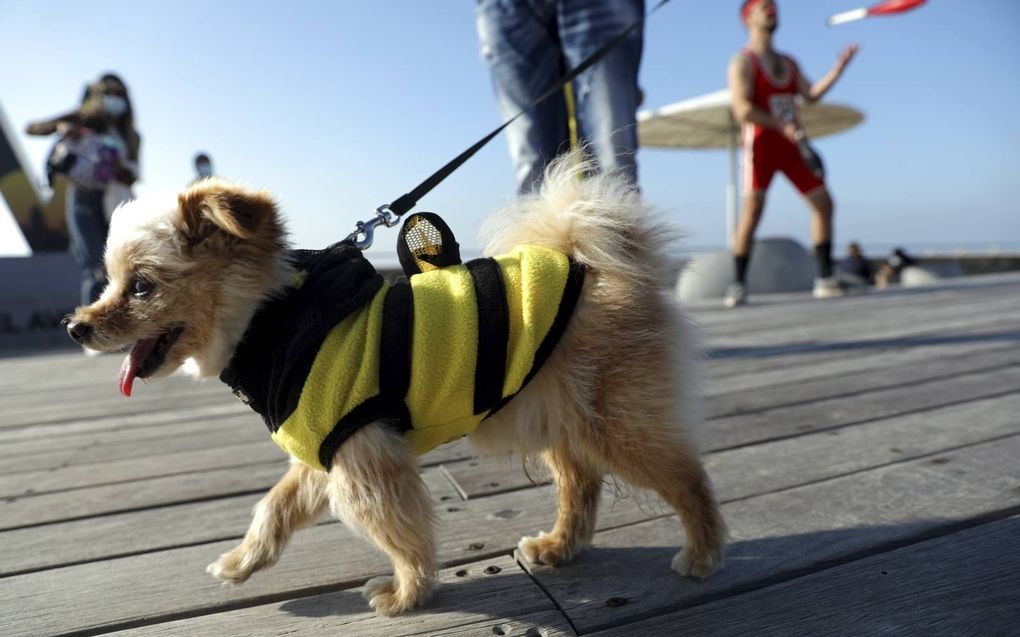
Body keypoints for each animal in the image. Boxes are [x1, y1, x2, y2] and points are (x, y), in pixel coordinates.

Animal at [65, 157, 726, 615]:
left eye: (141, 286)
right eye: (109, 281)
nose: (76, 326)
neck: (272, 321)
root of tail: (598, 261)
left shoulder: (363, 460)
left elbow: (399, 531)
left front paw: (406, 594)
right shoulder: (324, 446)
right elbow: (272, 508)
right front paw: (240, 563)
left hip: (619, 424)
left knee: (688, 481)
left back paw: (702, 554)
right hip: (557, 417)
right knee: (581, 484)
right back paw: (559, 547)